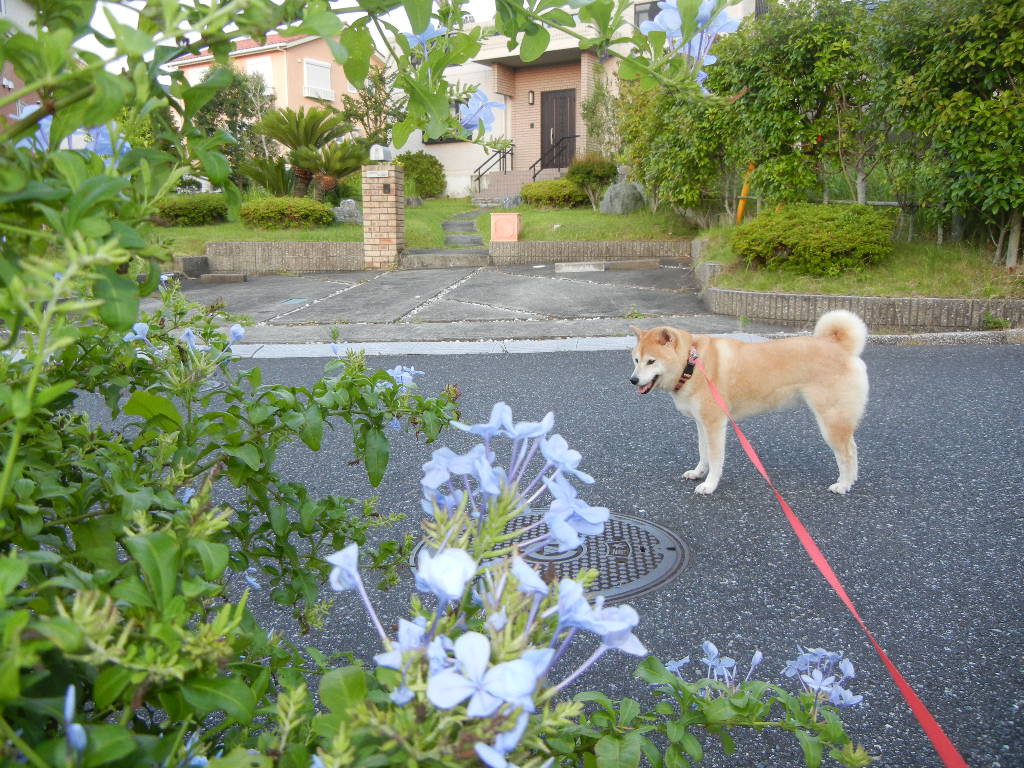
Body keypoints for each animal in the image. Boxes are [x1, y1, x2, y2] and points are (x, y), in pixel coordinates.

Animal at [626, 311, 868, 495]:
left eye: (651, 361)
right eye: (636, 360)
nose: (633, 380)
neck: (691, 364)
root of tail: (841, 346)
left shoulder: (715, 424)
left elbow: (715, 458)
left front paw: (709, 485)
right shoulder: (701, 423)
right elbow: (703, 452)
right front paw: (698, 473)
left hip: (831, 420)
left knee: (847, 452)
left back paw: (843, 484)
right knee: (853, 448)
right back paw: (852, 480)